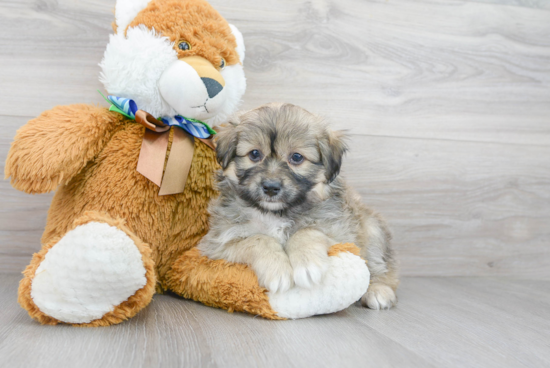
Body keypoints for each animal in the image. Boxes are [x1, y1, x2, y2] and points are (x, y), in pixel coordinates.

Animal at [199, 102, 402, 310]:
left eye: (296, 157)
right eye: (254, 154)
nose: (270, 187)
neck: (277, 213)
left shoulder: (342, 236)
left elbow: (306, 232)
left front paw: (307, 264)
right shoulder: (219, 243)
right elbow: (258, 239)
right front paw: (277, 270)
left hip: (372, 231)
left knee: (382, 267)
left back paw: (379, 291)